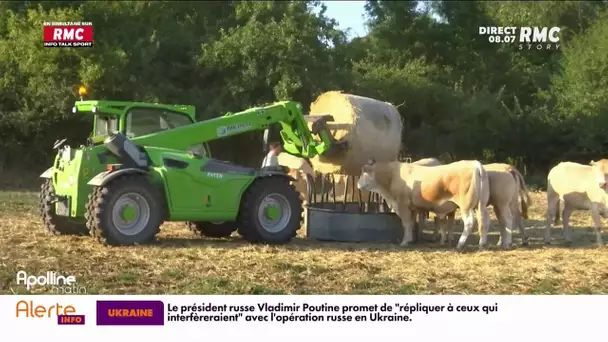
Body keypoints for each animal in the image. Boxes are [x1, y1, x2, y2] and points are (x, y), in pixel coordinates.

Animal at [358, 159, 492, 250]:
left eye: (362, 173)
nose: (358, 185)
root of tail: (475, 163)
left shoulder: (402, 205)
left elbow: (406, 224)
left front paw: (404, 241)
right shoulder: (412, 208)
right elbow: (411, 223)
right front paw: (411, 239)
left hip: (466, 206)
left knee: (469, 223)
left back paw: (460, 243)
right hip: (481, 204)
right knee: (485, 221)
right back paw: (482, 243)